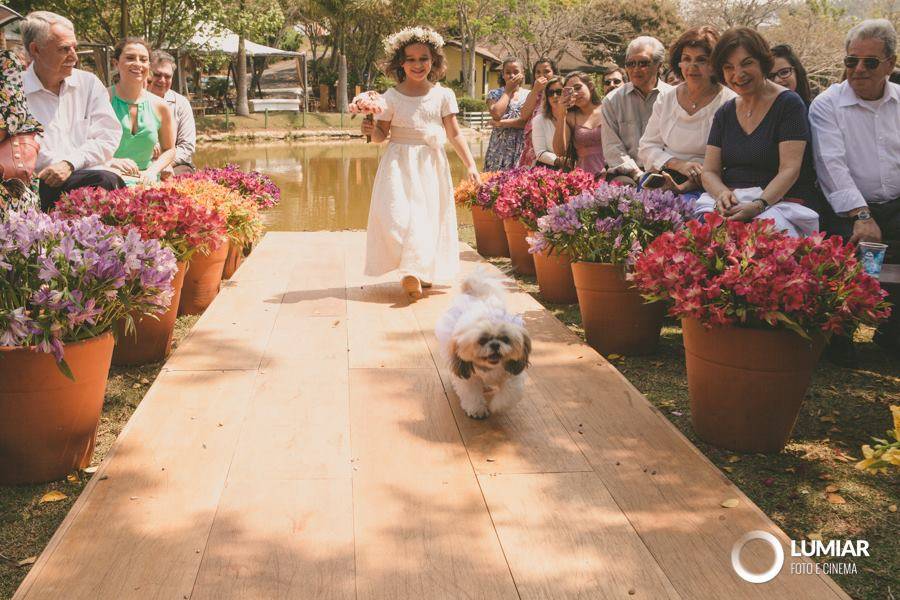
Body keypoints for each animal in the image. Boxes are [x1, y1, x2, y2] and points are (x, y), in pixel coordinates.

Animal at [434, 270, 532, 420]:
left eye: (505, 339)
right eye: (482, 340)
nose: (495, 345)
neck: (490, 368)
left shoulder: (513, 373)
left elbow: (509, 392)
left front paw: (497, 406)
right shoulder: (469, 378)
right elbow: (471, 394)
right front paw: (477, 410)